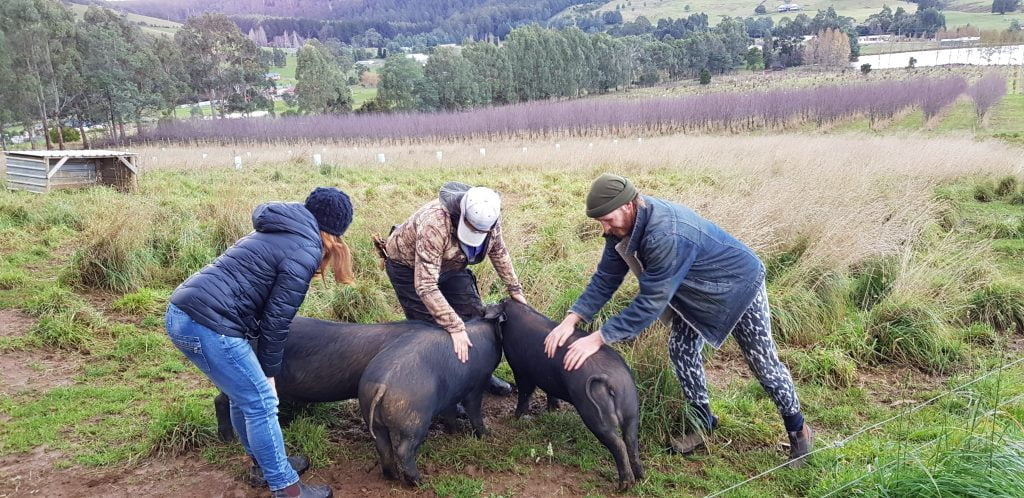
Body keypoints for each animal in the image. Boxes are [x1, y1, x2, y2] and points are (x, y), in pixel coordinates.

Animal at [360, 317, 503, 483]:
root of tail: (382, 384)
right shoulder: (477, 384)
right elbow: (474, 411)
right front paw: (487, 435)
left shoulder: (450, 395)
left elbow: (450, 413)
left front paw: (454, 432)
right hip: (416, 420)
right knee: (404, 450)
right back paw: (419, 481)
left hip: (371, 415)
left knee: (383, 446)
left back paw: (393, 477)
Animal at [493, 299, 638, 489]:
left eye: (502, 302)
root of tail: (612, 381)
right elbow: (549, 392)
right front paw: (553, 410)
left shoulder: (521, 371)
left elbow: (525, 394)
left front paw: (516, 418)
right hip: (632, 410)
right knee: (631, 441)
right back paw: (640, 477)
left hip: (594, 413)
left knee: (619, 444)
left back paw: (624, 486)